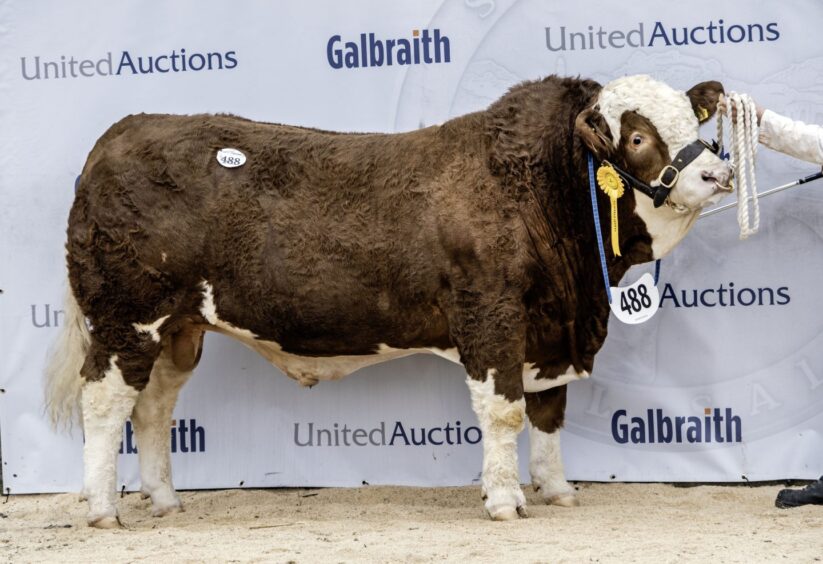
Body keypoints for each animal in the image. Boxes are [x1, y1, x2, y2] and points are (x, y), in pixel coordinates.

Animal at [45, 72, 732, 528]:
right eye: (637, 136)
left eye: (693, 120)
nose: (718, 173)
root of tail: (120, 136)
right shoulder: (492, 315)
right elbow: (505, 413)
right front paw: (505, 501)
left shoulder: (549, 331)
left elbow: (549, 411)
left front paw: (557, 488)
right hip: (126, 318)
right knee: (104, 403)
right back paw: (103, 510)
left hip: (178, 332)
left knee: (153, 409)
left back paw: (165, 500)